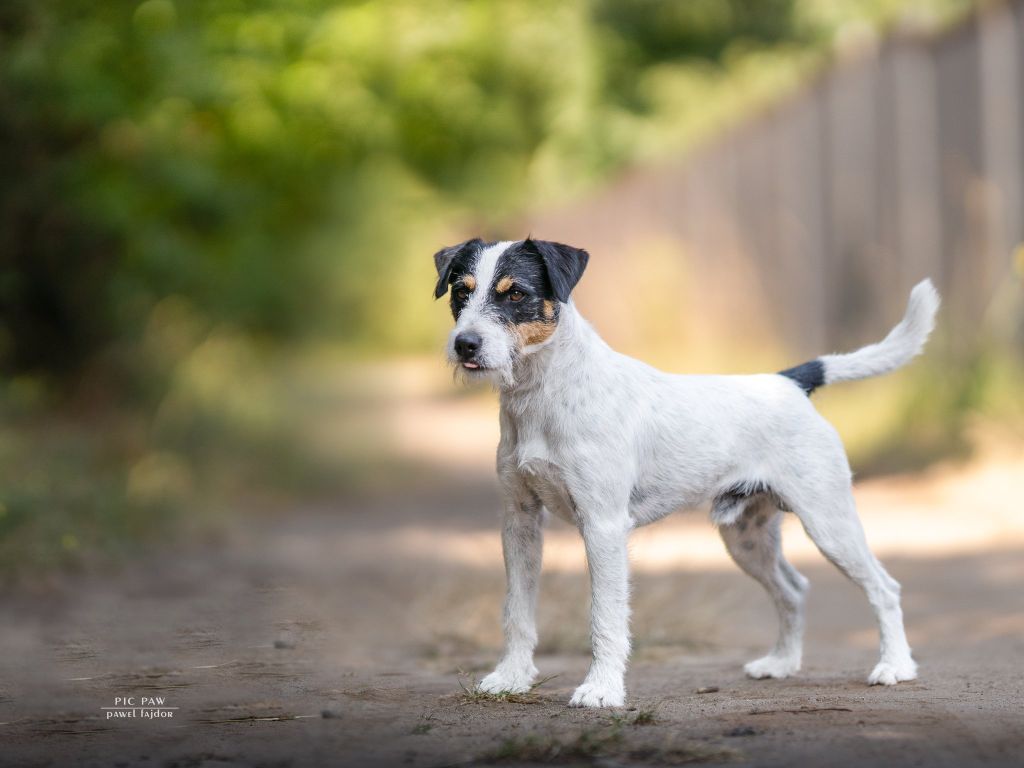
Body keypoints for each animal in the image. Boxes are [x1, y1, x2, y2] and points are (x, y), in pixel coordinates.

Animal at [428, 239, 937, 708]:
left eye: (516, 293)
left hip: (830, 522)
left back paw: (894, 667)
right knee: (793, 589)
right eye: (460, 290)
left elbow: (605, 617)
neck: (545, 392)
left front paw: (601, 690)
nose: (464, 344)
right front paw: (511, 679)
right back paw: (782, 663)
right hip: (747, 537)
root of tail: (790, 382)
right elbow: (517, 610)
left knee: (884, 588)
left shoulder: (603, 526)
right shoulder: (520, 521)